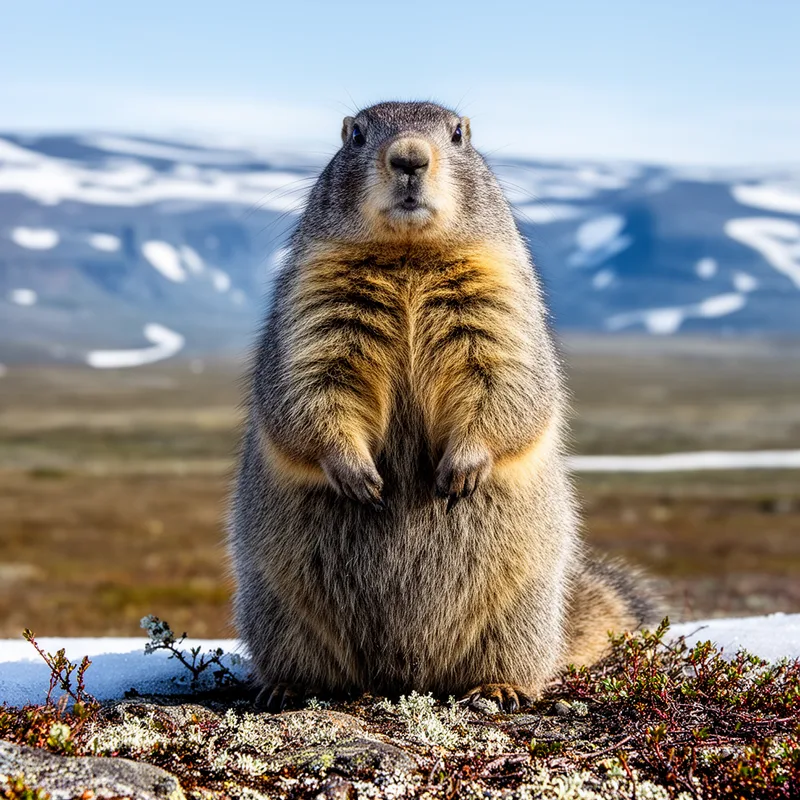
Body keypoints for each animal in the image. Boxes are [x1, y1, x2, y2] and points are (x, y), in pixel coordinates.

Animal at [228, 101, 658, 712]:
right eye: (355, 135)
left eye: (458, 134)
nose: (409, 156)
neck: (410, 256)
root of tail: (401, 678)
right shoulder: (312, 300)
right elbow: (312, 381)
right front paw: (359, 476)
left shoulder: (498, 296)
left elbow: (502, 376)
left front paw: (462, 468)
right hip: (276, 606)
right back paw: (289, 687)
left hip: (521, 609)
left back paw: (500, 687)